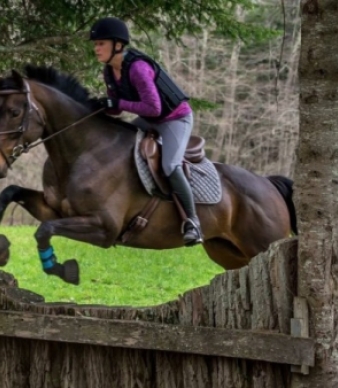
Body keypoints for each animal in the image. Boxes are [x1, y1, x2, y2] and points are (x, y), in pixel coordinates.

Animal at [0, 65, 298, 284]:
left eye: (14, 112)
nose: (1, 163)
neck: (81, 151)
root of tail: (268, 184)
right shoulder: (54, 209)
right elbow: (14, 195)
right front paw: (3, 245)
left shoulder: (104, 227)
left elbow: (45, 229)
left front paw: (63, 270)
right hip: (227, 252)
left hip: (264, 244)